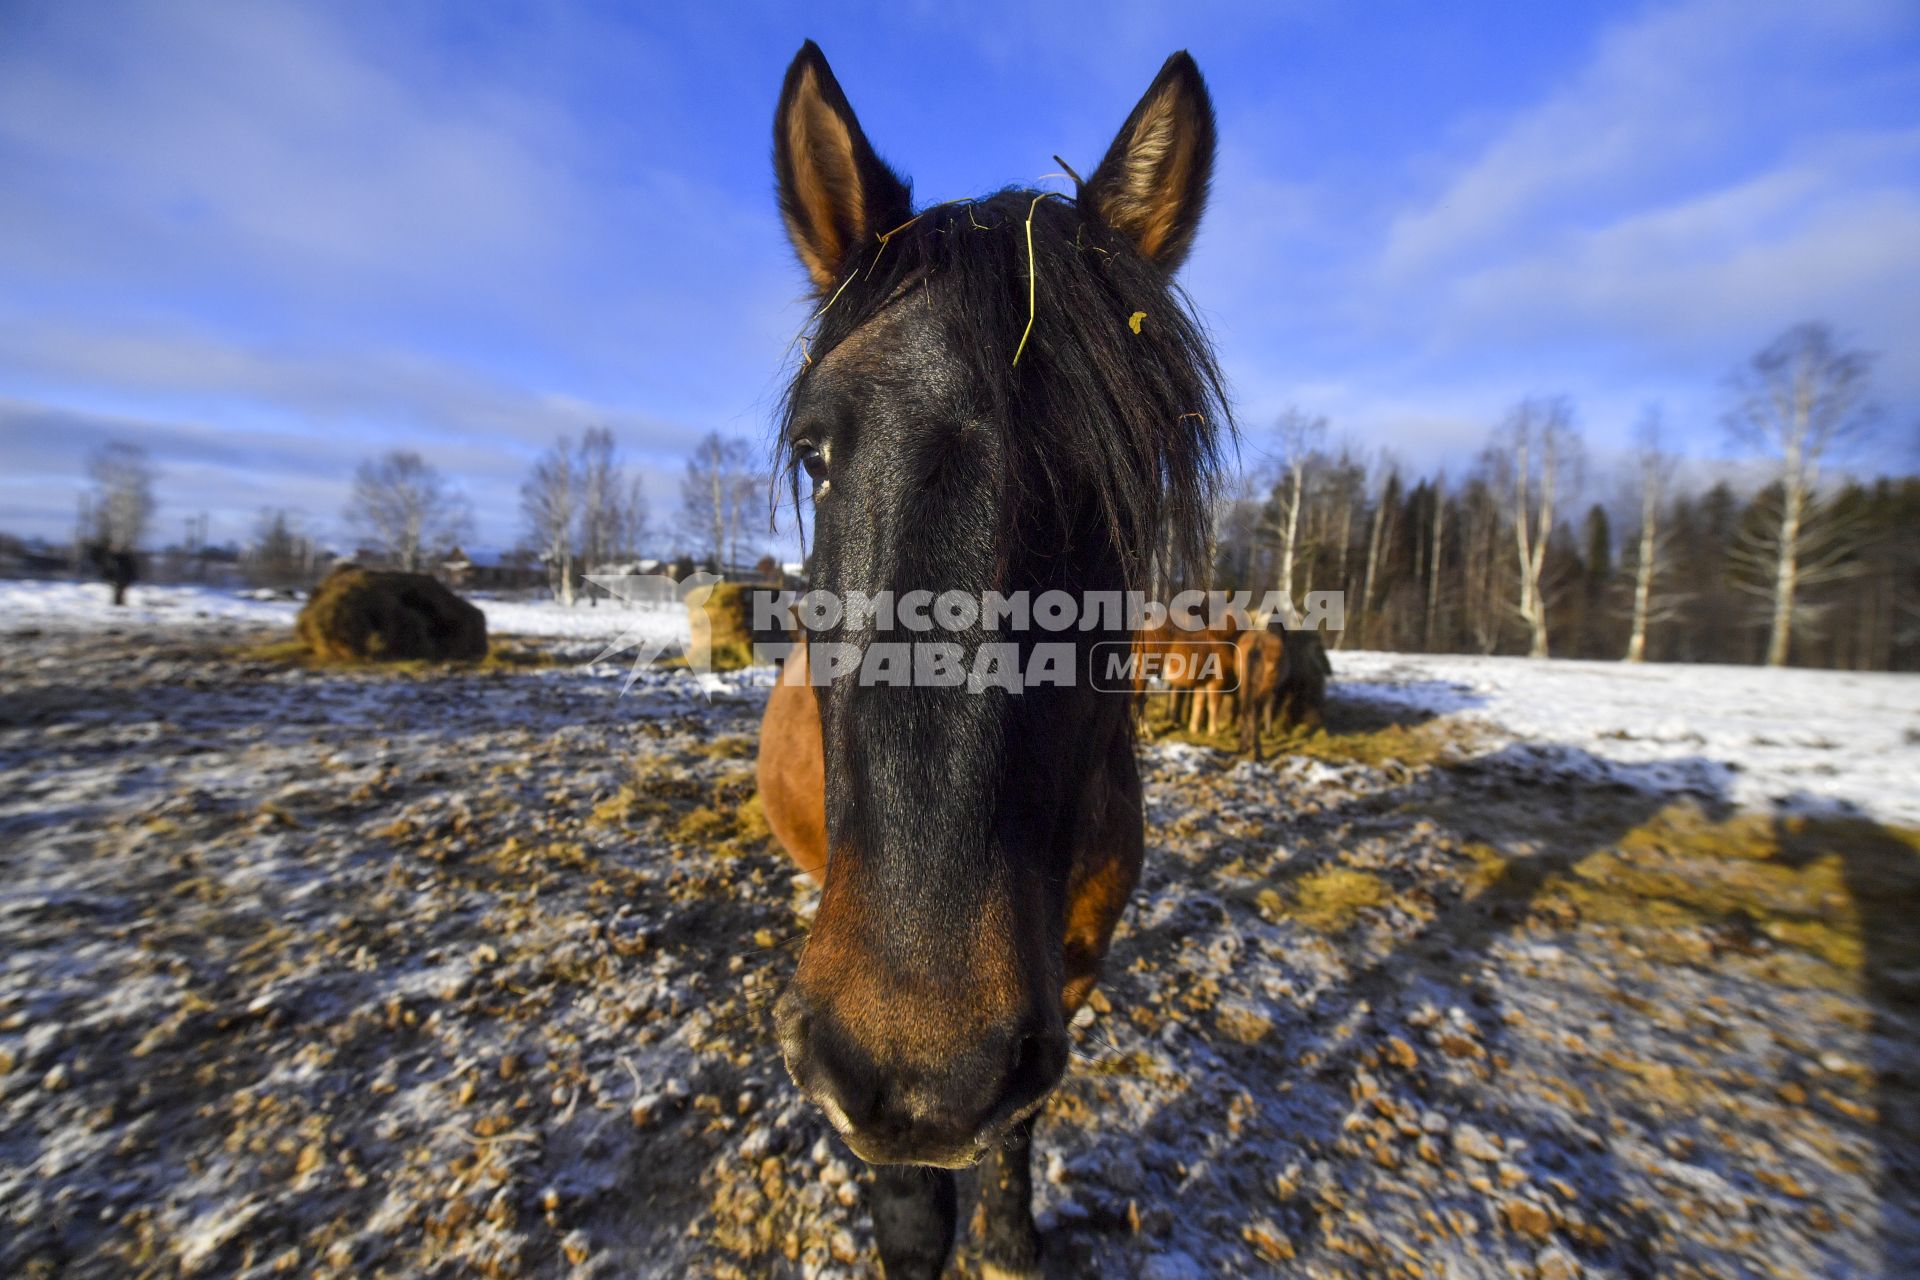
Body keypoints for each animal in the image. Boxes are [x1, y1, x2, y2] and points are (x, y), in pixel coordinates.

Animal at [756, 42, 1221, 1280]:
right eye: (815, 453)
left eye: (1129, 467)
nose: (920, 1068)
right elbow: (914, 1198)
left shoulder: (1067, 968)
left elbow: (1021, 1122)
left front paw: (1011, 1235)